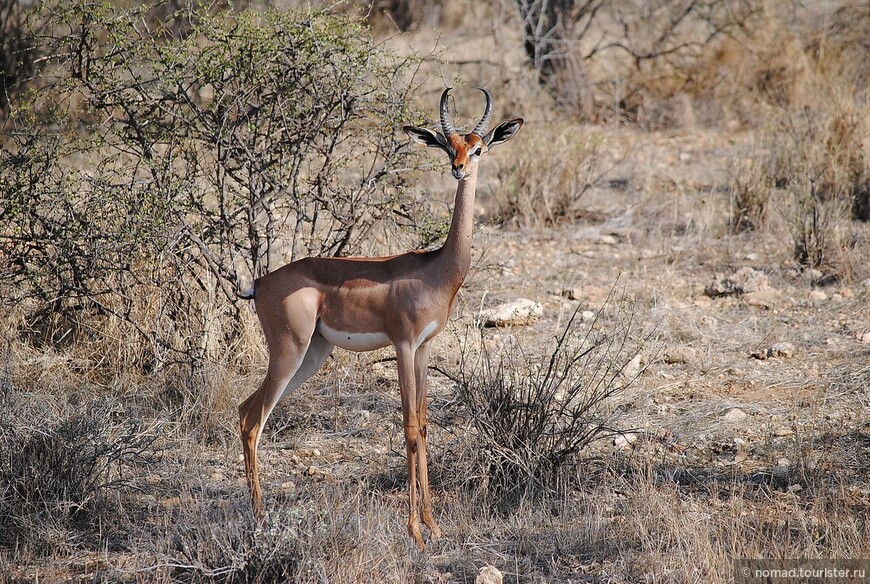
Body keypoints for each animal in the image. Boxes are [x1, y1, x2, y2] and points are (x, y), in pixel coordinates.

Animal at [238, 86, 524, 548]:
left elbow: (423, 426)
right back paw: (261, 520)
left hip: (311, 356)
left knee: (245, 410)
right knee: (253, 422)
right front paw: (415, 532)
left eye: (478, 147)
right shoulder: (403, 345)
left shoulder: (424, 348)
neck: (436, 270)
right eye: (449, 147)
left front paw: (434, 525)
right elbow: (407, 427)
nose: (458, 169)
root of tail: (260, 283)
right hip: (288, 352)